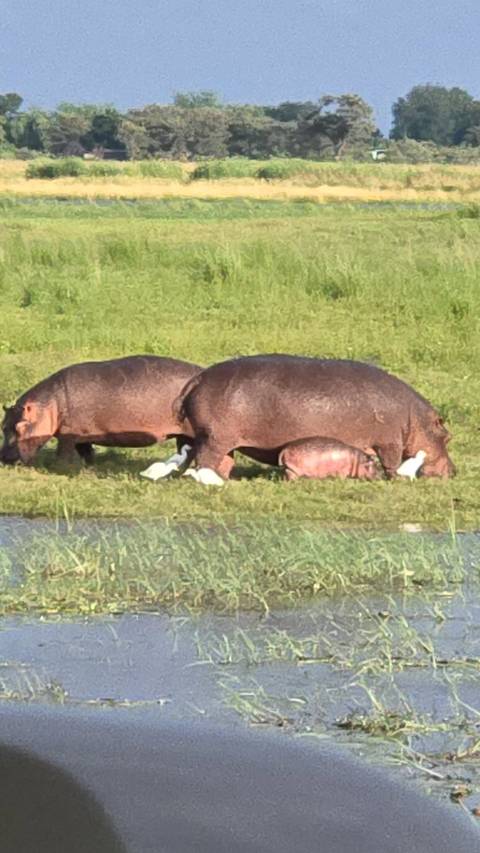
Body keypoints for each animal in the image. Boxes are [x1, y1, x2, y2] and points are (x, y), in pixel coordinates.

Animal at [1, 355, 201, 466]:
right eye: (3, 425)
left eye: (20, 425)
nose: (3, 457)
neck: (51, 404)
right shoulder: (81, 435)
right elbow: (86, 452)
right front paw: (89, 467)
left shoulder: (67, 434)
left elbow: (64, 453)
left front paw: (59, 467)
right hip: (183, 433)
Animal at [175, 355, 455, 480]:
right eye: (447, 436)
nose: (455, 470)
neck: (415, 419)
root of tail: (199, 378)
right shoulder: (390, 442)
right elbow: (392, 462)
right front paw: (395, 479)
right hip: (214, 437)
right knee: (206, 459)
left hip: (222, 439)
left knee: (223, 461)